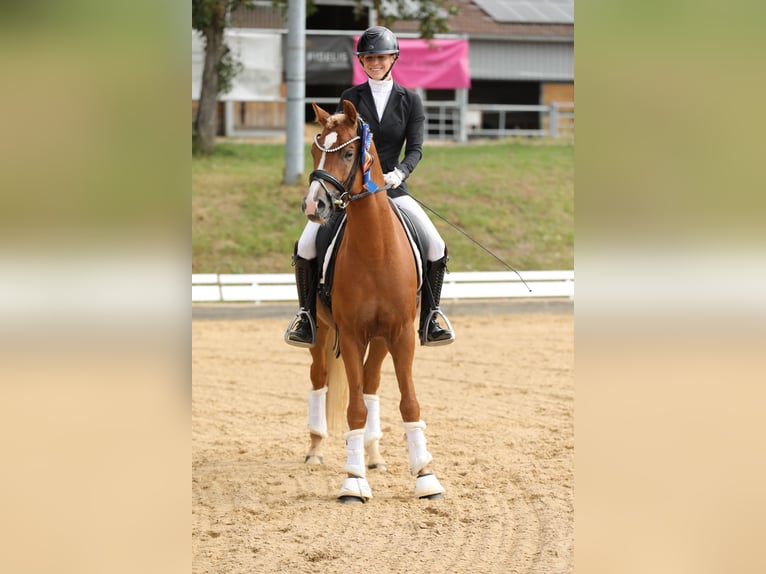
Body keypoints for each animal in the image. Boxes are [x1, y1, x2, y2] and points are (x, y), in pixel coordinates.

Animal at [298, 100, 444, 504]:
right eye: (315, 150)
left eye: (348, 153)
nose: (314, 205)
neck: (376, 249)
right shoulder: (349, 334)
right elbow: (354, 409)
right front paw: (353, 481)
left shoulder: (402, 334)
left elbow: (407, 402)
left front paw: (425, 476)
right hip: (321, 331)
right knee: (320, 379)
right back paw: (316, 449)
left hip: (380, 338)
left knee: (372, 382)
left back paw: (374, 455)